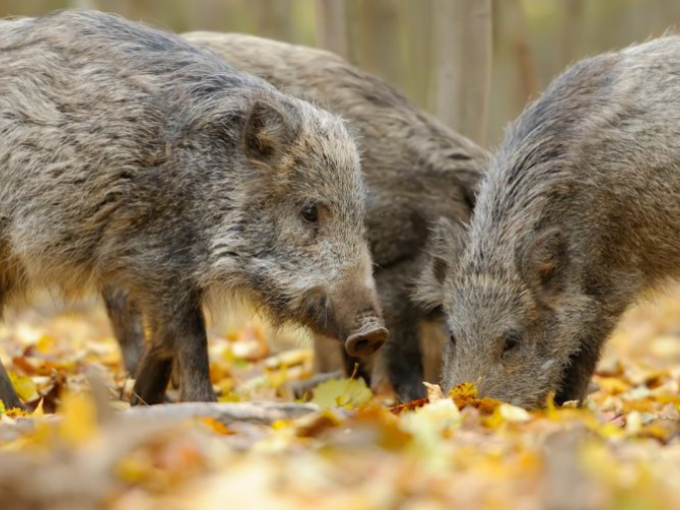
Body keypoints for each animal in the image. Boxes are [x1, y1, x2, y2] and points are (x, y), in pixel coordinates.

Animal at [0, 10, 385, 409]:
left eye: (359, 216)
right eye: (310, 211)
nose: (375, 332)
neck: (202, 183)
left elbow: (165, 340)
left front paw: (145, 401)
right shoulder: (153, 259)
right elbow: (190, 337)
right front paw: (202, 406)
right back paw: (18, 409)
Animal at [419, 36, 680, 409]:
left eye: (511, 341)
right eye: (452, 336)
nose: (467, 407)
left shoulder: (612, 285)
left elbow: (584, 352)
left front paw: (569, 407)